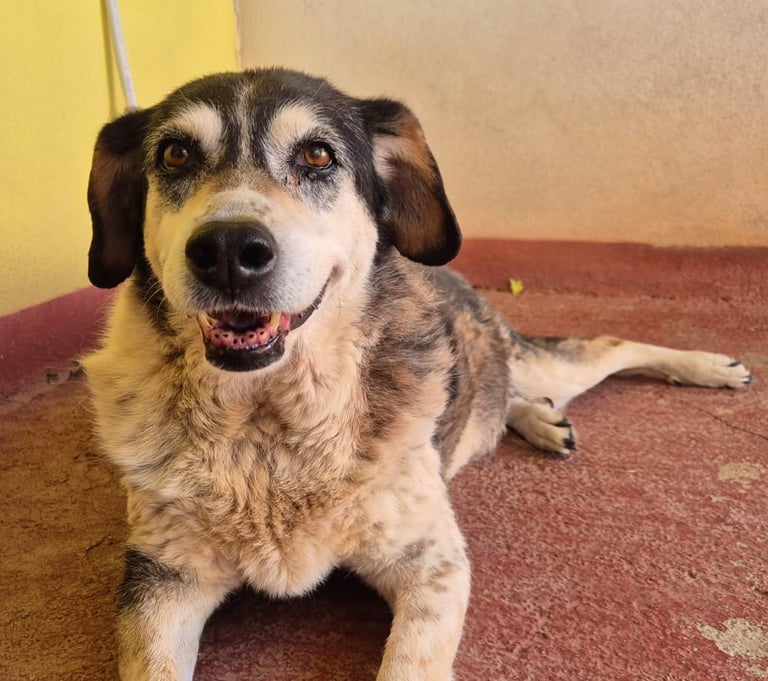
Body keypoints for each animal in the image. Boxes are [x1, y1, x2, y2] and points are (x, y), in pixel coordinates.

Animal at [83, 68, 753, 681]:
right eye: (175, 153)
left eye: (318, 155)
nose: (228, 250)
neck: (266, 426)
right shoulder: (161, 581)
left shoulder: (432, 562)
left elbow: (410, 662)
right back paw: (540, 419)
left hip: (550, 365)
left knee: (605, 344)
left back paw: (711, 368)